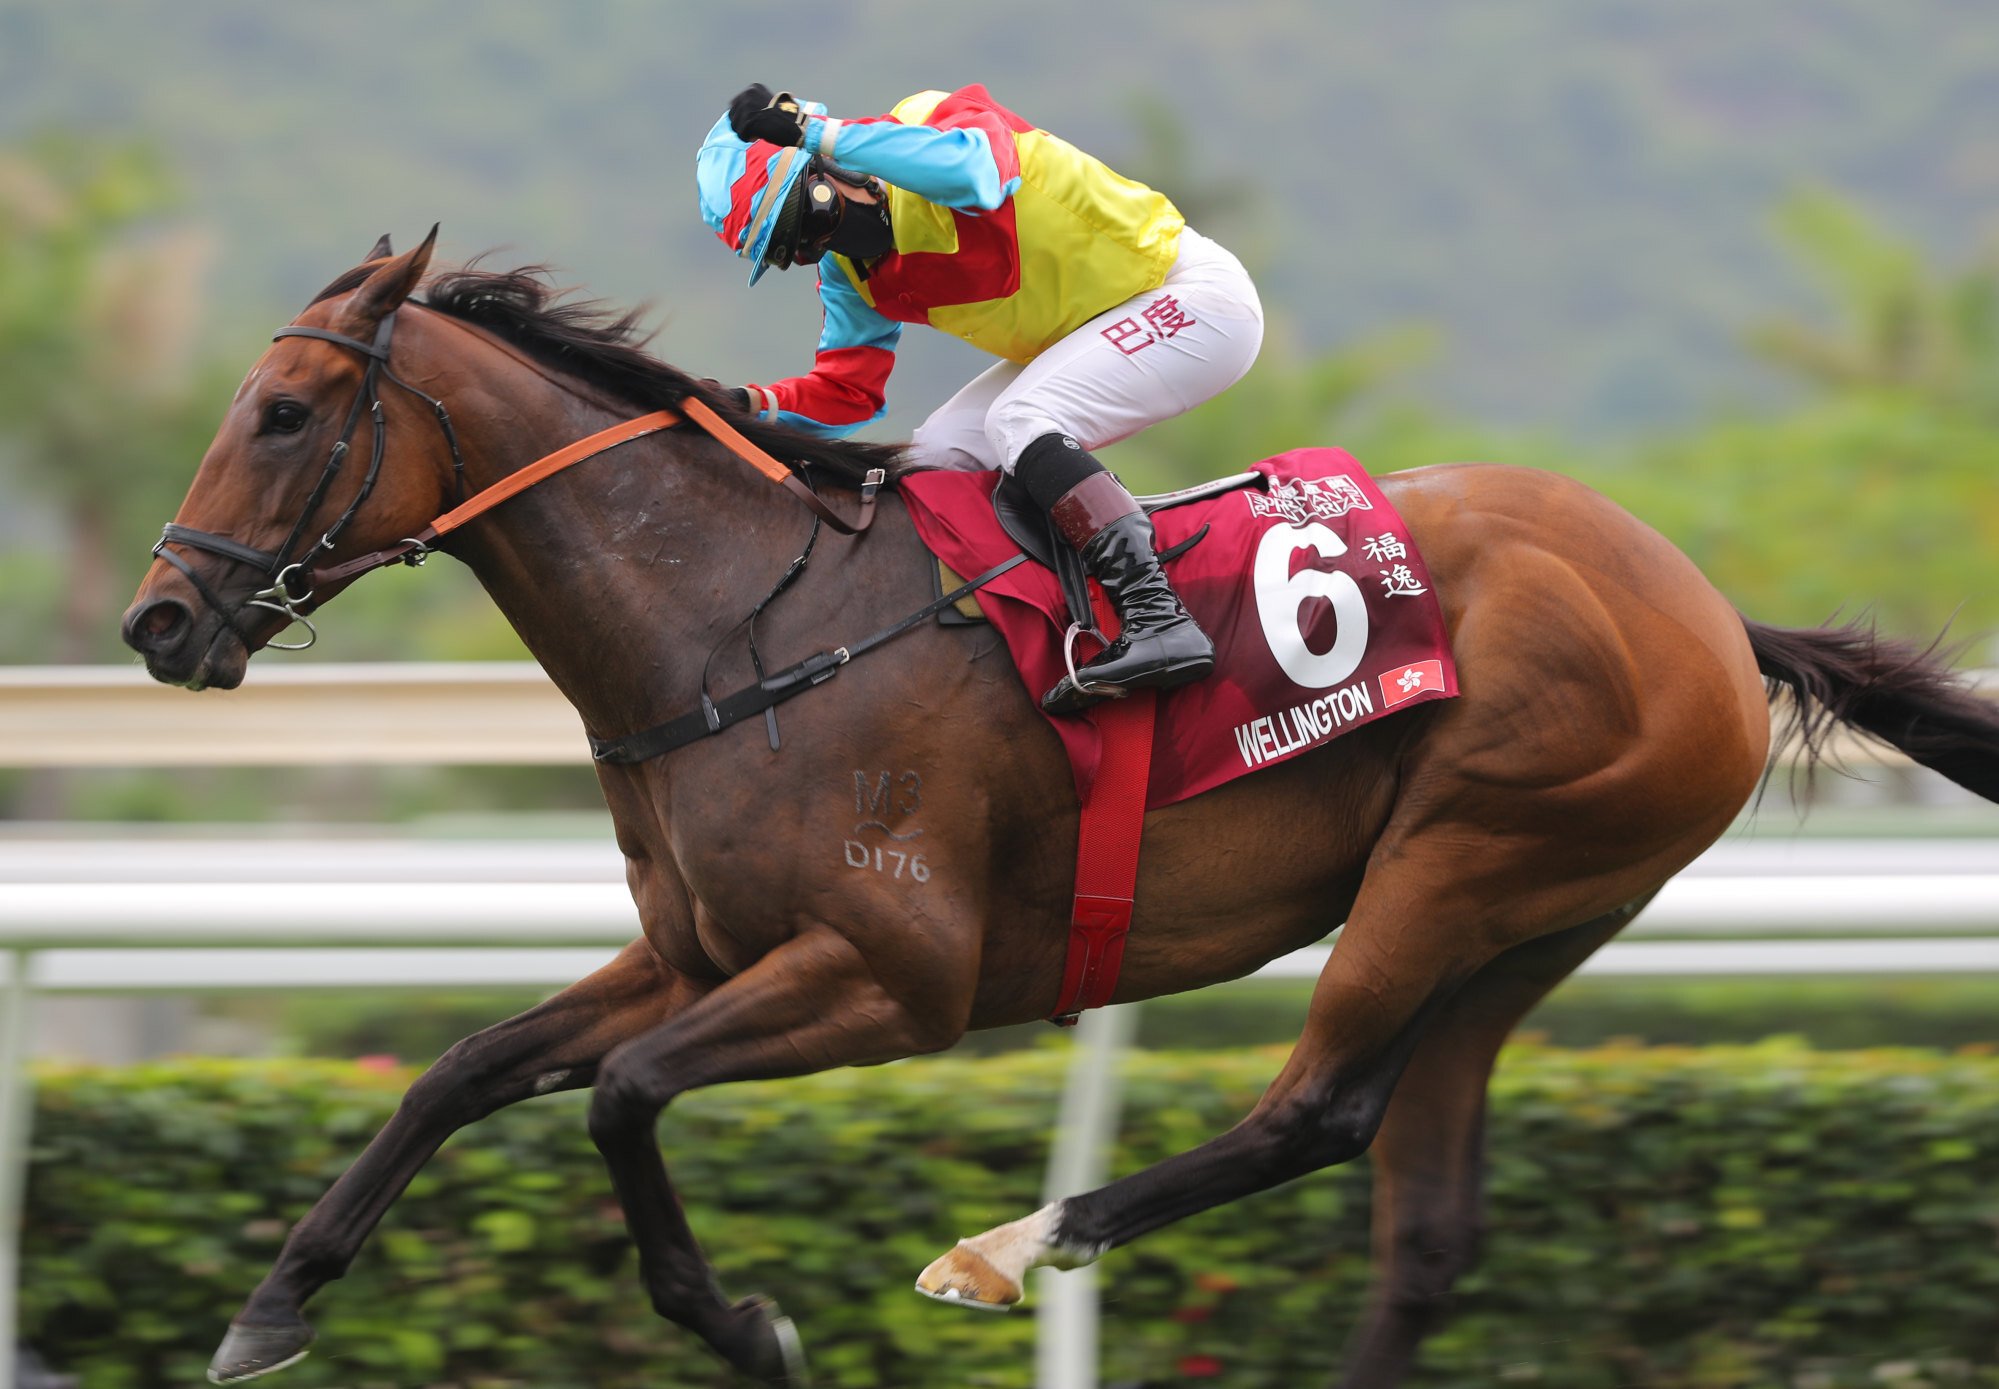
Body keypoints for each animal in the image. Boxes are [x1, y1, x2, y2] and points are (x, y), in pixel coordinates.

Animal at [116, 233, 1991, 1383]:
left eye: (281, 413)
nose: (159, 621)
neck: (738, 624)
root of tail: (1705, 606)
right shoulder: (696, 950)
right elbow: (460, 1066)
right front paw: (270, 1303)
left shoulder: (895, 974)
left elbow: (626, 1098)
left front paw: (742, 1321)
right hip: (1524, 924)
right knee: (1420, 1215)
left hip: (1467, 859)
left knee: (1312, 1110)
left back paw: (1010, 1243)